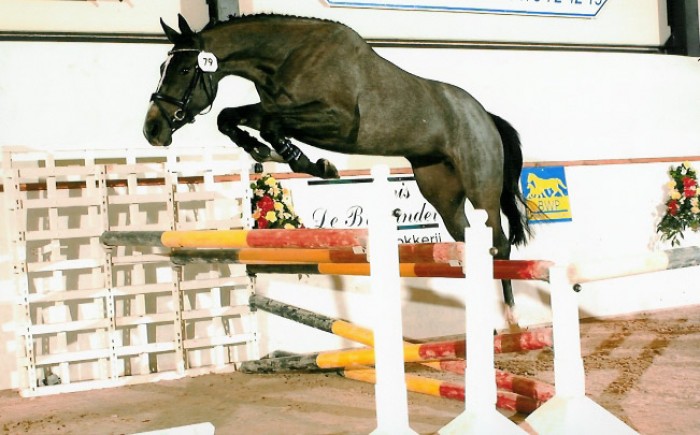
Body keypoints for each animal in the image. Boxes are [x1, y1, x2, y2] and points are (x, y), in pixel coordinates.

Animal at [143, 14, 532, 326]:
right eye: (161, 69)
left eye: (184, 70)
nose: (152, 130)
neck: (287, 56)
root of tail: (484, 116)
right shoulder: (274, 107)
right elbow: (232, 117)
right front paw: (266, 151)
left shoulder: (339, 120)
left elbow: (270, 124)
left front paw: (308, 162)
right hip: (441, 190)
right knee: (470, 240)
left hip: (480, 187)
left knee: (498, 243)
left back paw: (511, 318)